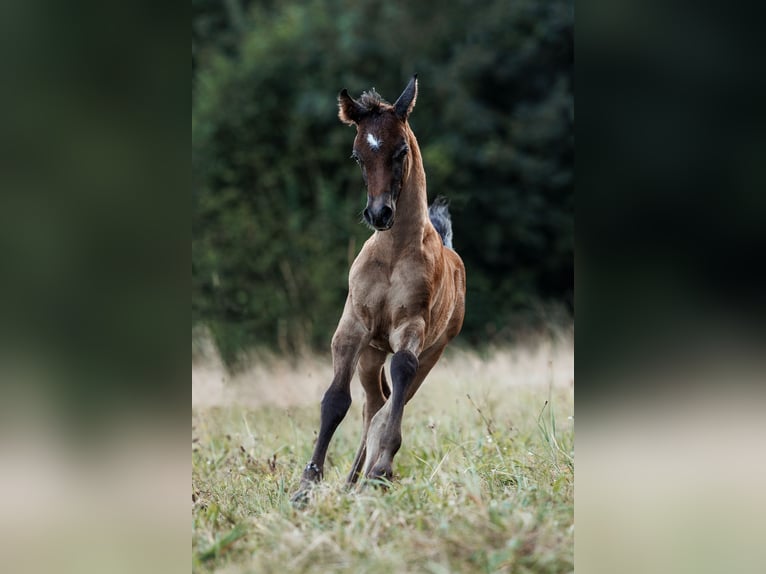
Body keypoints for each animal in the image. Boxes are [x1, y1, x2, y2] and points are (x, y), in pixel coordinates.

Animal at [292, 76, 464, 504]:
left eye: (400, 150)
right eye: (357, 155)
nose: (379, 213)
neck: (393, 252)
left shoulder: (412, 326)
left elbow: (401, 373)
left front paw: (382, 469)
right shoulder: (353, 327)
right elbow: (336, 401)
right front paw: (306, 486)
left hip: (434, 350)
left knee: (391, 401)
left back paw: (369, 475)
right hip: (371, 353)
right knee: (374, 403)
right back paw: (353, 481)